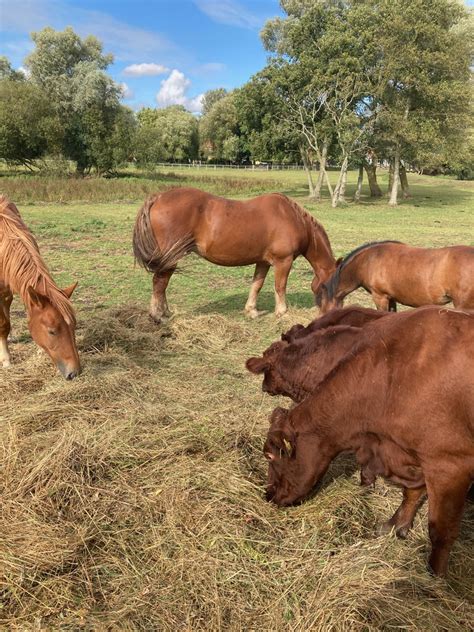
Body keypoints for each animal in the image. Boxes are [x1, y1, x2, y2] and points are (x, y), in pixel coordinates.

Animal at [131, 185, 336, 318]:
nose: (330, 312)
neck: (292, 218)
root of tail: (158, 198)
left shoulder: (263, 262)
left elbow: (257, 285)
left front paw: (251, 310)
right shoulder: (283, 261)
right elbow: (280, 286)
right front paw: (282, 312)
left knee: (161, 284)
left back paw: (165, 312)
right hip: (169, 258)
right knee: (159, 282)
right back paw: (158, 315)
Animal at [262, 306, 474, 576]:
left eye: (270, 455)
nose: (268, 494)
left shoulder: (449, 467)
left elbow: (440, 530)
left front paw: (434, 575)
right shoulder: (410, 454)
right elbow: (411, 493)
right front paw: (396, 525)